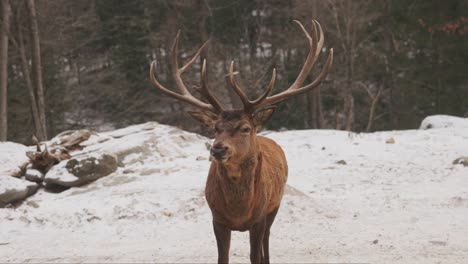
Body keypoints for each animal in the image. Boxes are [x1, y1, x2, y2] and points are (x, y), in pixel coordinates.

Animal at [150, 19, 332, 262]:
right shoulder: (217, 219)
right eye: (215, 128)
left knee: (267, 241)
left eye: (245, 128)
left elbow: (256, 256)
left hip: (276, 204)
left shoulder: (259, 217)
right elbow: (222, 258)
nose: (218, 149)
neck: (239, 212)